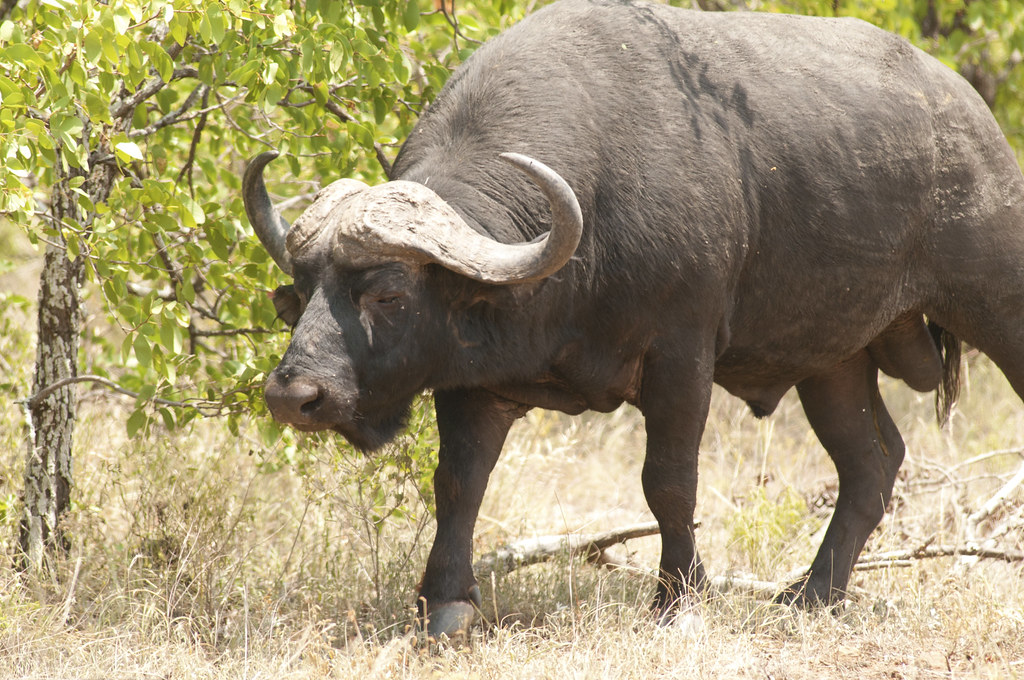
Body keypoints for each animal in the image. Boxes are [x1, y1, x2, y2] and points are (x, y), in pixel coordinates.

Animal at [242, 0, 1024, 640]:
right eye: (301, 291)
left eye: (388, 295)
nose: (294, 395)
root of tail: (972, 120)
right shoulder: (471, 380)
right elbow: (459, 482)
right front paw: (447, 605)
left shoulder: (681, 357)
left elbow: (668, 482)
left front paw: (680, 601)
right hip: (832, 359)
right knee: (872, 462)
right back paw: (810, 595)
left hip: (994, 302)